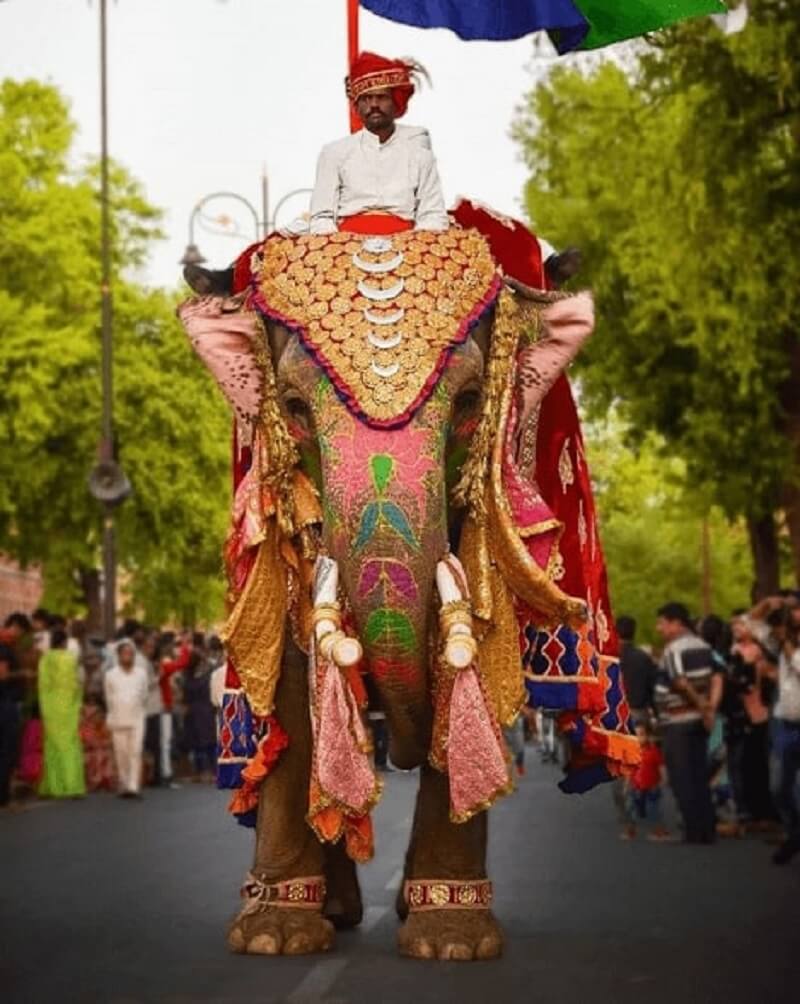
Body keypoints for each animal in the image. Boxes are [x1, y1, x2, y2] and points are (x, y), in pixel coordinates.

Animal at [176, 195, 638, 955]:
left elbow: (471, 642)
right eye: (293, 410)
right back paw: (331, 911)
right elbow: (294, 657)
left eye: (473, 401)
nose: (395, 747)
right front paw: (273, 936)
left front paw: (453, 939)